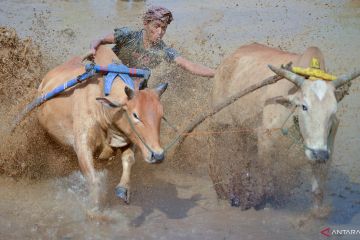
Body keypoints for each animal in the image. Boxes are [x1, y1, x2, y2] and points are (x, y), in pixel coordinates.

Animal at [37, 46, 167, 206]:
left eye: (161, 114)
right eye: (135, 115)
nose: (158, 155)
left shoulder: (128, 138)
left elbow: (129, 159)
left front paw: (123, 189)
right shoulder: (82, 145)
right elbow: (93, 180)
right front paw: (95, 206)